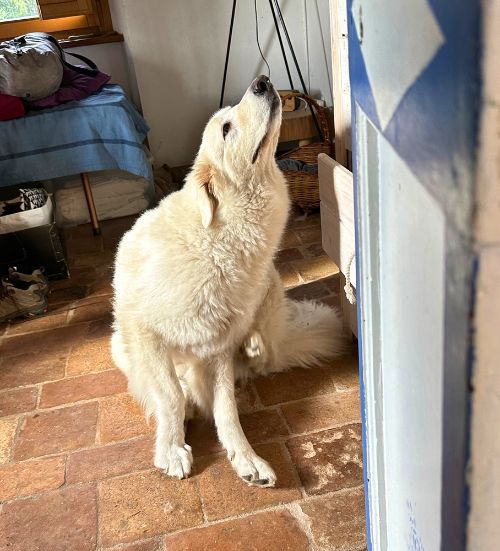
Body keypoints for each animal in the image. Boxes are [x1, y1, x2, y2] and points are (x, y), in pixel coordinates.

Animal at [110, 76, 344, 488]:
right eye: (225, 129)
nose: (262, 82)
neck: (218, 241)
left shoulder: (216, 345)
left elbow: (226, 409)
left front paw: (245, 457)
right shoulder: (146, 333)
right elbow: (170, 394)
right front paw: (172, 448)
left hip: (270, 285)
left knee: (264, 351)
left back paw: (253, 345)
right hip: (118, 344)